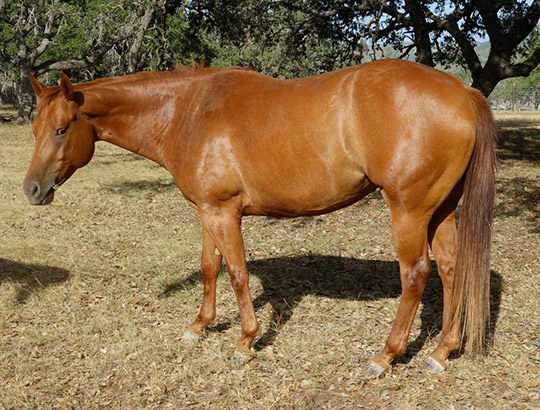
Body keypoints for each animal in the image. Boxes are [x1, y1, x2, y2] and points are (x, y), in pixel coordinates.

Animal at [25, 59, 498, 376]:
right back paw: (441, 352)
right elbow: (210, 267)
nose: (31, 189)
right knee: (451, 269)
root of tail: (463, 92)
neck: (191, 111)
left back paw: (385, 356)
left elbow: (237, 273)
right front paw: (199, 327)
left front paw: (245, 341)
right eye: (35, 128)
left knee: (416, 274)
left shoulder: (224, 212)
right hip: (440, 211)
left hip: (408, 211)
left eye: (62, 128)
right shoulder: (207, 211)